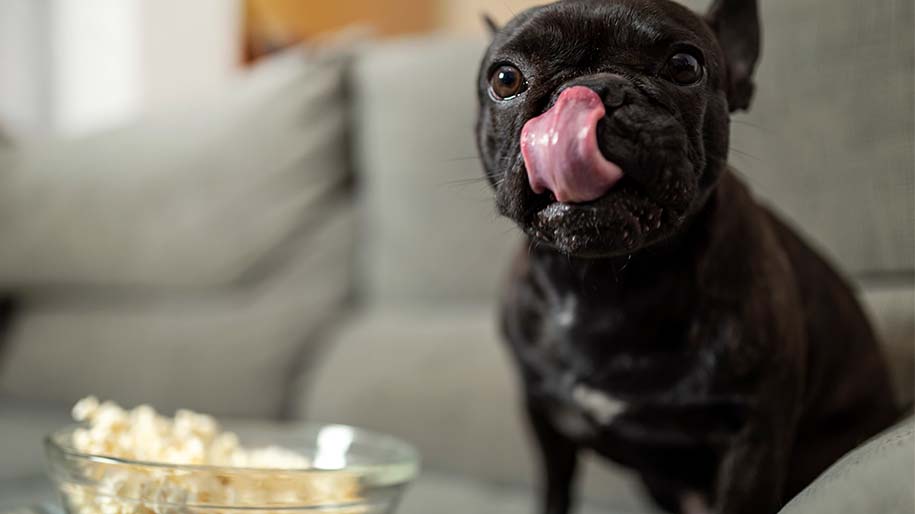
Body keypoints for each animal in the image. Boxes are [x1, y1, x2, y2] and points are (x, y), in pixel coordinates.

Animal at [480, 1, 900, 512]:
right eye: (505, 79)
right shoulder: (546, 418)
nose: (590, 91)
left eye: (684, 66)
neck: (608, 284)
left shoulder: (753, 435)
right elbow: (556, 490)